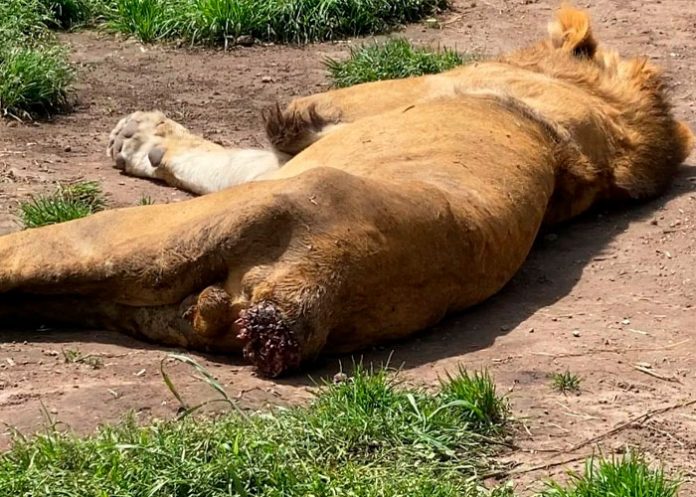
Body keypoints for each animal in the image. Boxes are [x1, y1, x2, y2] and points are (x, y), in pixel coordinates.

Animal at [0, 6, 692, 377]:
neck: (604, 121)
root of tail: (318, 285)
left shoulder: (333, 109)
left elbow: (227, 151)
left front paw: (137, 134)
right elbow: (221, 157)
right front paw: (138, 137)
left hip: (137, 239)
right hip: (145, 307)